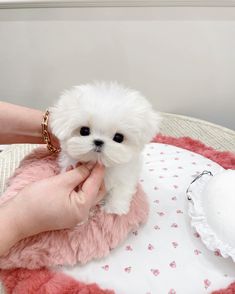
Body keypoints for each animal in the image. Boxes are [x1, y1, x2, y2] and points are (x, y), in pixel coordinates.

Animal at [50, 81, 161, 215]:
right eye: (84, 131)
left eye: (118, 137)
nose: (98, 142)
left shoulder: (127, 174)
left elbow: (122, 188)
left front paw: (115, 208)